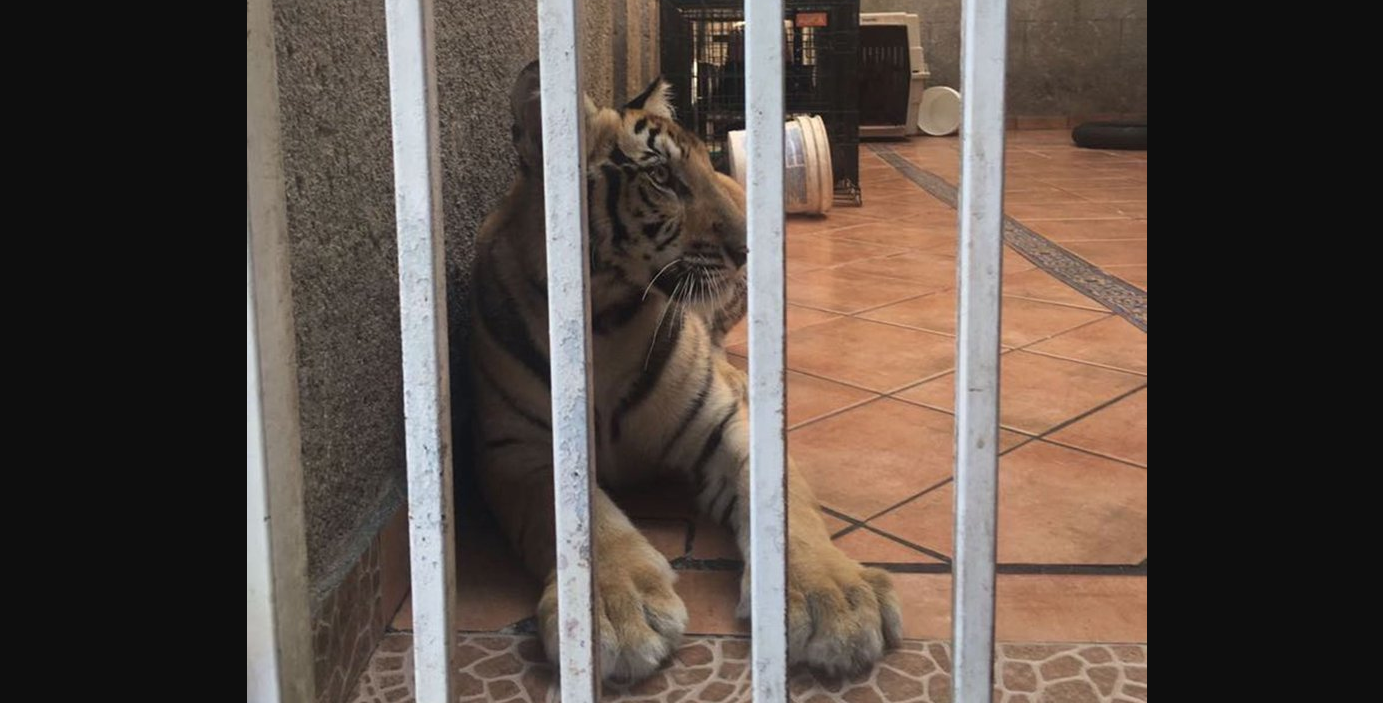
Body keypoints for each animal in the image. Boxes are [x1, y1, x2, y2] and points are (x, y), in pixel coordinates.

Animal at [469, 60, 903, 684]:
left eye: (700, 164)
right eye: (662, 177)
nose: (748, 247)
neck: (607, 317)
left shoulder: (726, 421)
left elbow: (786, 506)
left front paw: (834, 600)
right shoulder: (518, 452)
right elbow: (578, 522)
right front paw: (617, 611)